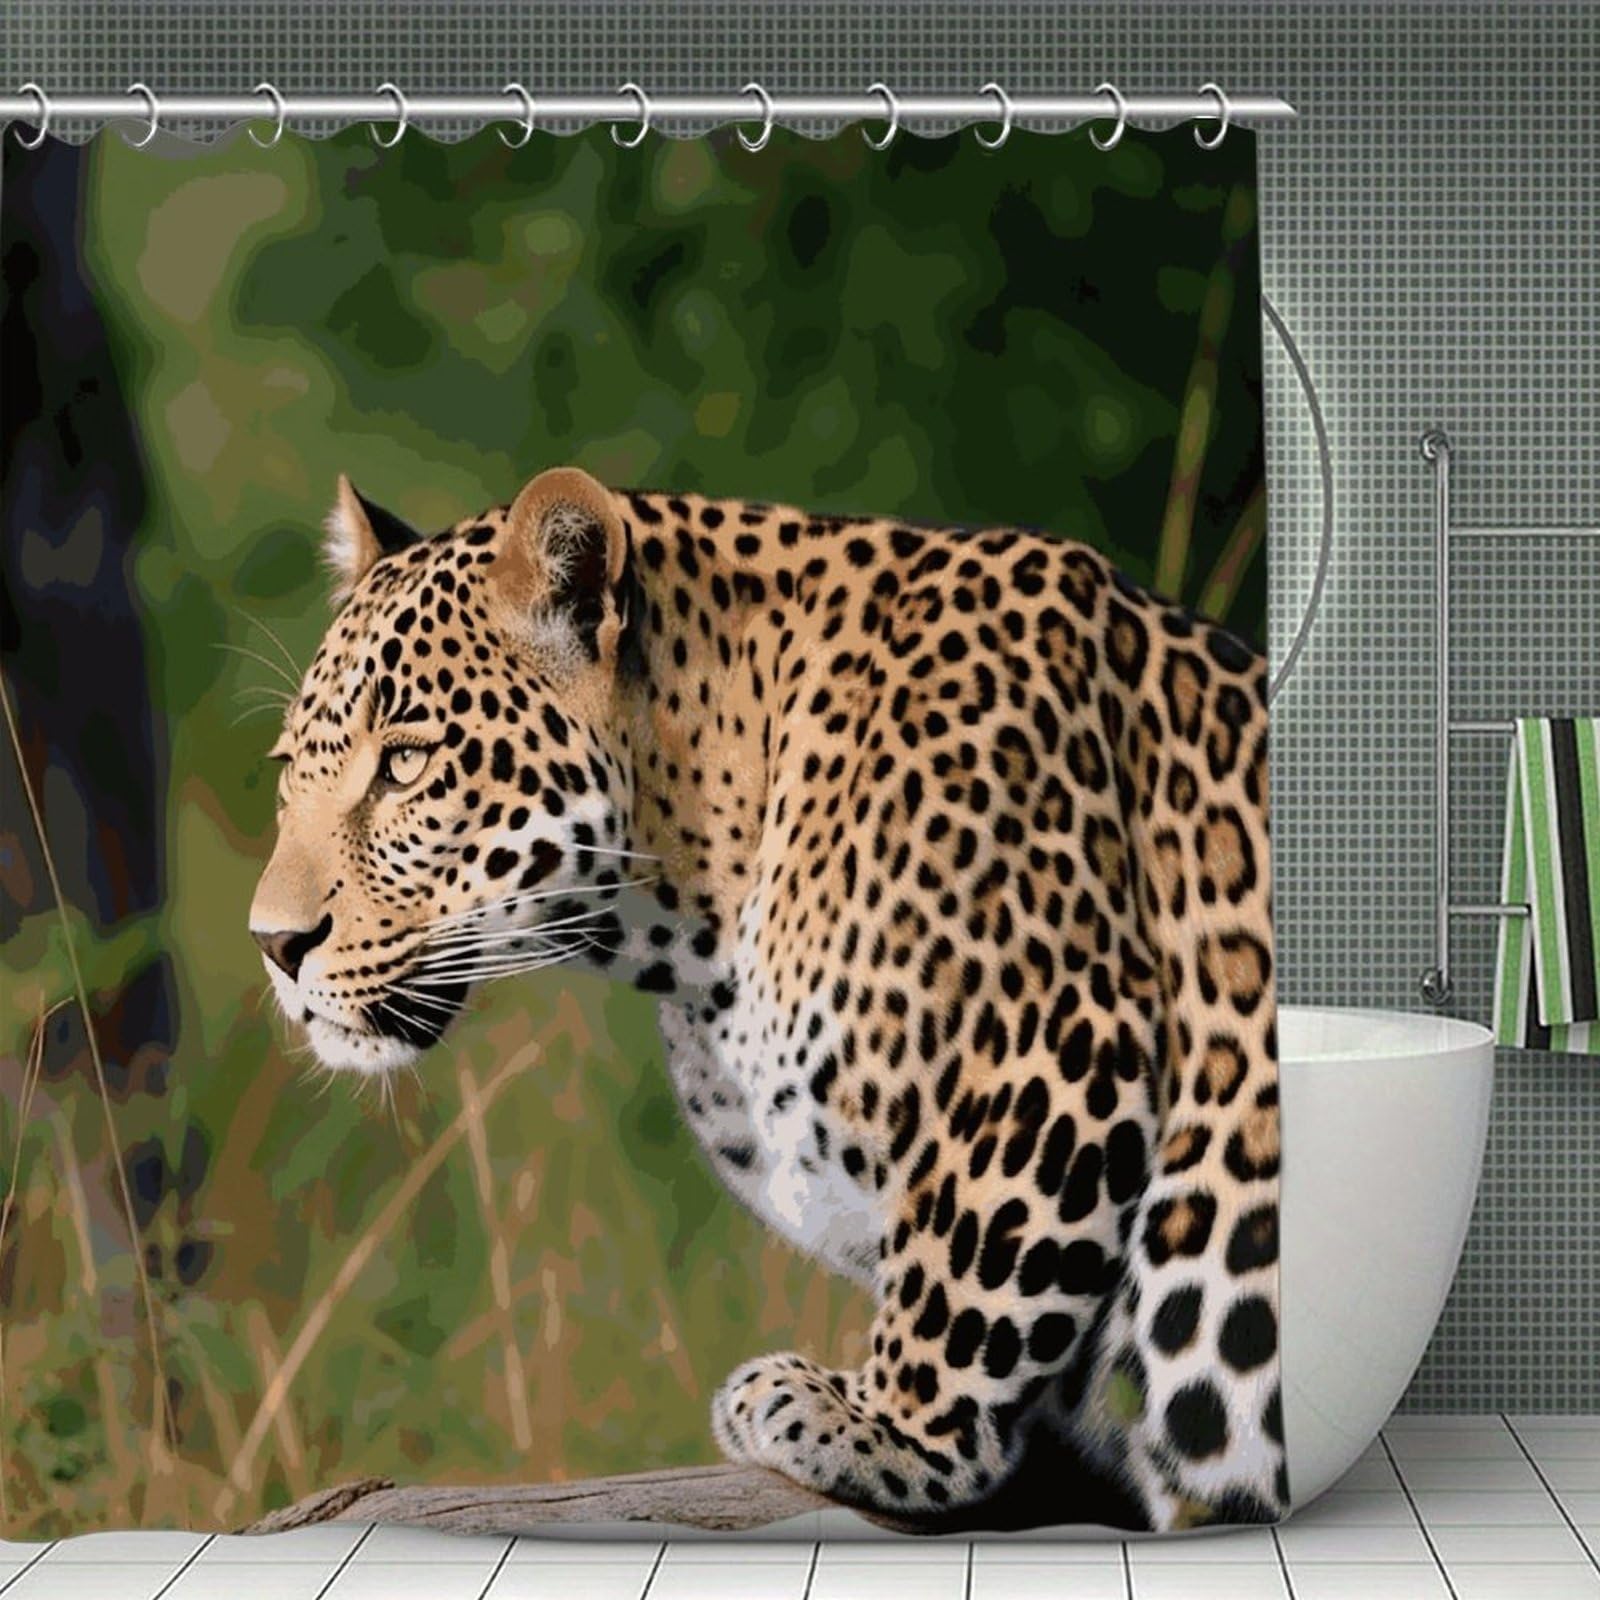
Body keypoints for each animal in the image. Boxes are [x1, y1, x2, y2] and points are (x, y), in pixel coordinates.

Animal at [249, 465, 1285, 1532]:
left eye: (407, 764)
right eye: (291, 771)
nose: (274, 945)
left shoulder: (1057, 1035)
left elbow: (973, 1264)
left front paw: (886, 1429)